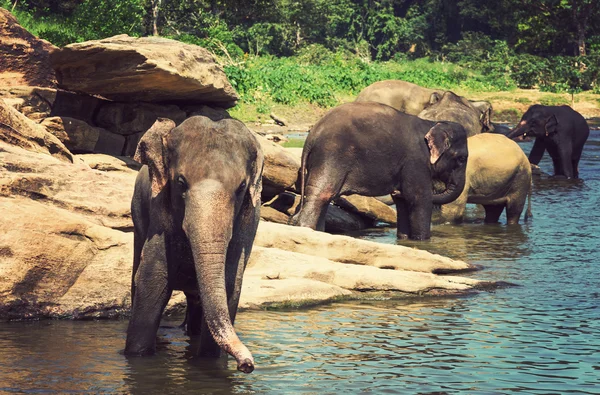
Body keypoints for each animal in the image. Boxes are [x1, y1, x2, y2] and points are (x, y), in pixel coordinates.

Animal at [125, 117, 264, 374]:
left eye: (241, 187)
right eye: (180, 182)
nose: (247, 365)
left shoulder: (249, 220)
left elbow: (231, 283)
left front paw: (211, 362)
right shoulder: (159, 209)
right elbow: (153, 279)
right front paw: (138, 356)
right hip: (137, 212)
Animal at [290, 102, 468, 241]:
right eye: (461, 159)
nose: (395, 190)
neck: (431, 123)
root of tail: (311, 137)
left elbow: (403, 202)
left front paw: (405, 239)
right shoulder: (416, 161)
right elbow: (418, 198)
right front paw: (422, 241)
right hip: (331, 156)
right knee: (321, 194)